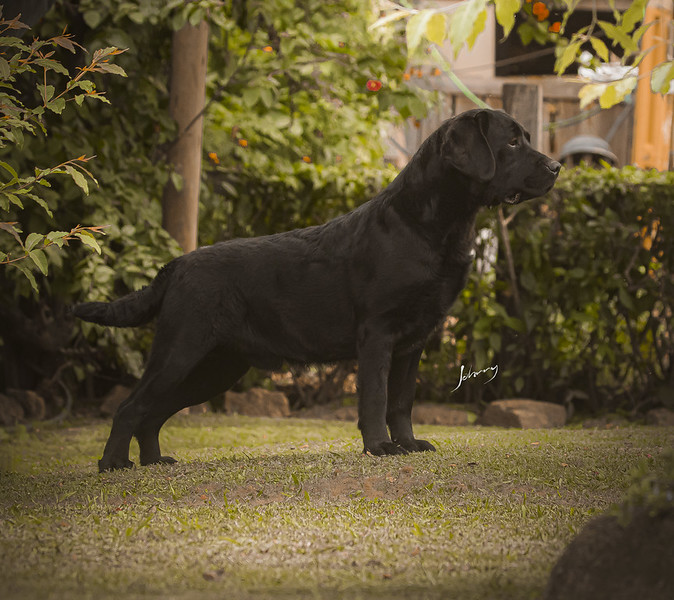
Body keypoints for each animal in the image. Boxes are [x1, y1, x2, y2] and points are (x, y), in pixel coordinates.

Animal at [73, 110, 560, 472]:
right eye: (511, 142)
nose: (557, 167)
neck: (429, 224)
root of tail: (175, 265)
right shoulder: (378, 333)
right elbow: (376, 397)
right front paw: (380, 448)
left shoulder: (414, 340)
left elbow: (402, 401)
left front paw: (408, 443)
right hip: (181, 350)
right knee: (130, 407)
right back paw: (113, 465)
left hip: (214, 367)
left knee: (152, 413)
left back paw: (154, 461)